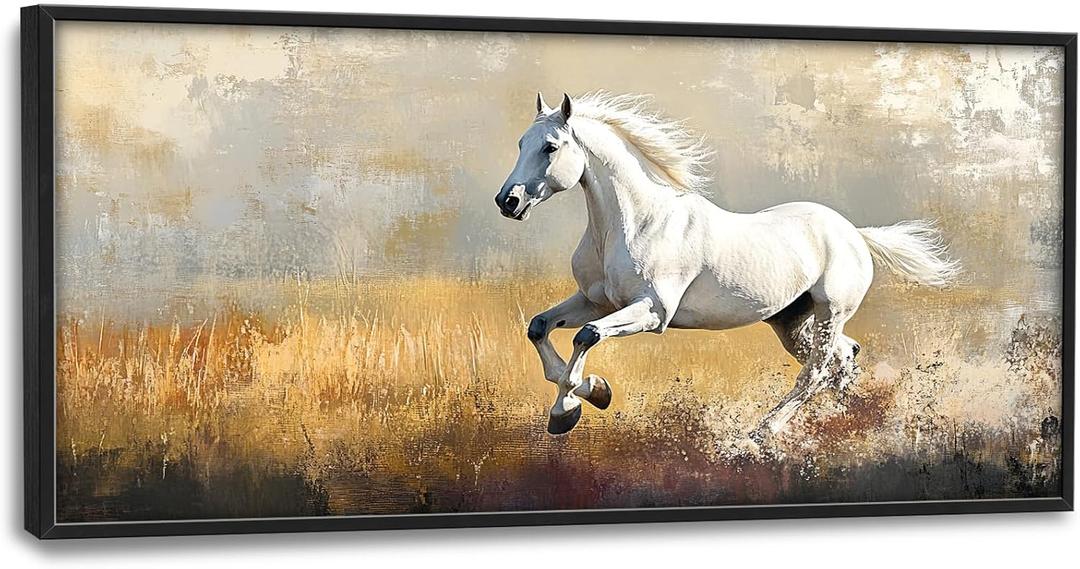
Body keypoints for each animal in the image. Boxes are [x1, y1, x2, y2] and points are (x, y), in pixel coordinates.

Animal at [494, 91, 960, 439]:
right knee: (842, 358)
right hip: (792, 321)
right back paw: (846, 419)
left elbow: (586, 336)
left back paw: (763, 432)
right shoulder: (596, 302)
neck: (637, 221)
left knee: (816, 370)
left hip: (830, 312)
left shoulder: (652, 312)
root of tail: (854, 234)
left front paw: (573, 405)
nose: (507, 201)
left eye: (550, 147)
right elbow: (540, 327)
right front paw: (586, 396)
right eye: (519, 144)